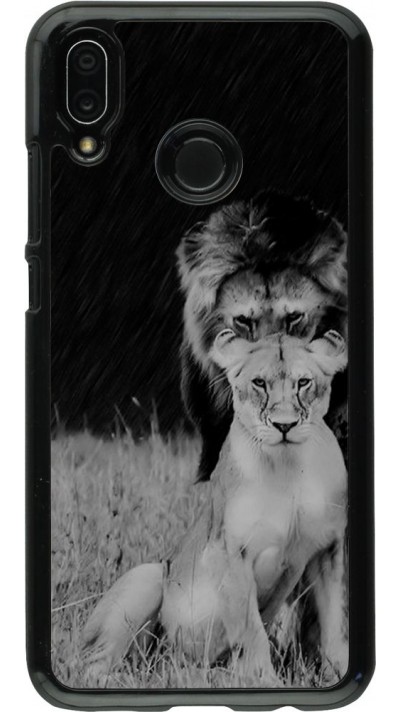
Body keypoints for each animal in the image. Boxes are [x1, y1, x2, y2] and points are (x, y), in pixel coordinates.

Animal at [82, 329, 348, 684]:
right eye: (259, 383)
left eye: (303, 382)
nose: (284, 425)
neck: (288, 466)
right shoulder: (229, 552)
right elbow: (251, 630)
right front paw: (264, 681)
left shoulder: (327, 551)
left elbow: (334, 625)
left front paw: (338, 674)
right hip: (148, 576)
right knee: (94, 663)